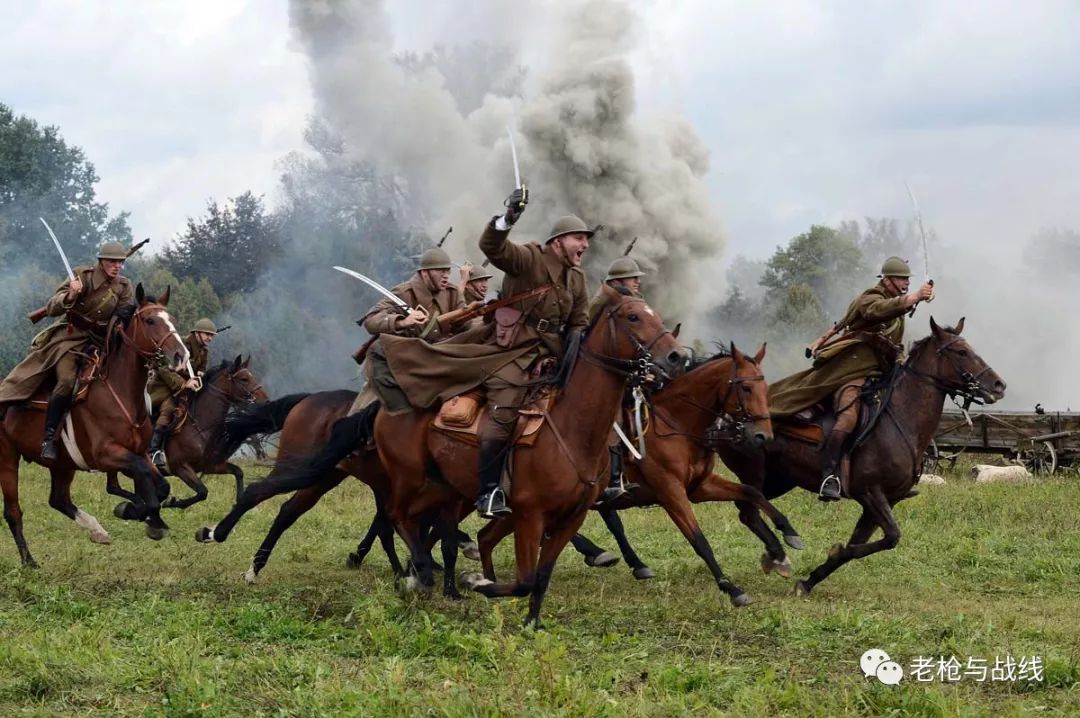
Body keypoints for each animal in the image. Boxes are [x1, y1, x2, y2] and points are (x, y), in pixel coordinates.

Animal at [0, 285, 187, 565]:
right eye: (150, 320)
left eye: (171, 319)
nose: (181, 355)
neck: (120, 392)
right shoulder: (107, 455)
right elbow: (144, 484)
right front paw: (137, 512)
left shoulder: (140, 453)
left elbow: (160, 486)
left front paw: (146, 516)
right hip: (8, 459)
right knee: (13, 511)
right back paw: (29, 562)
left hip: (62, 464)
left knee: (59, 500)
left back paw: (97, 530)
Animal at [104, 354, 268, 511]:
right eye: (244, 379)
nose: (265, 400)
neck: (200, 425)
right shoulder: (181, 468)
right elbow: (202, 492)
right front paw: (173, 503)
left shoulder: (210, 466)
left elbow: (238, 472)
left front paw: (240, 502)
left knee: (114, 488)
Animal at [481, 341, 803, 604]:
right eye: (746, 388)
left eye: (764, 387)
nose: (762, 436)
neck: (675, 422)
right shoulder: (671, 493)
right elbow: (699, 539)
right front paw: (732, 588)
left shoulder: (700, 487)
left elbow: (752, 492)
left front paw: (783, 543)